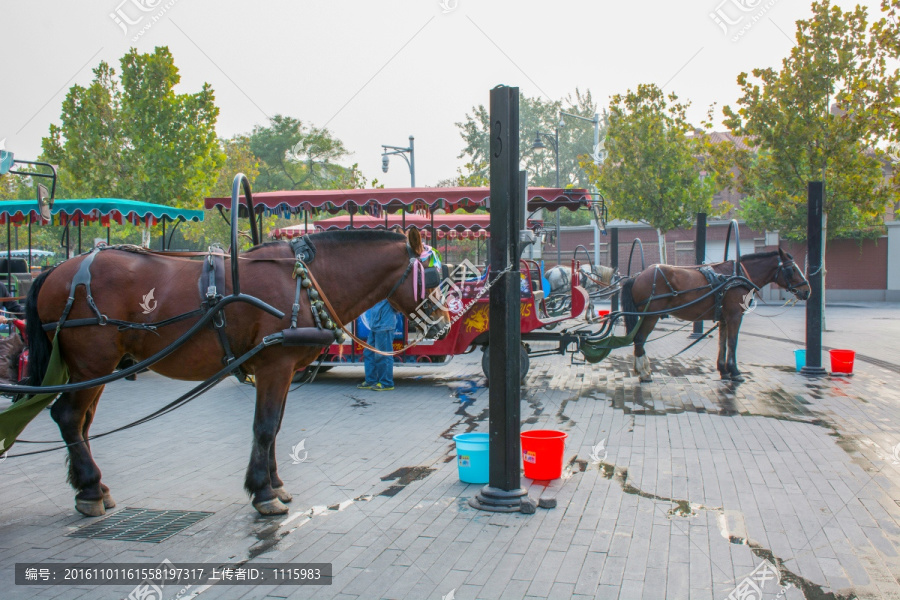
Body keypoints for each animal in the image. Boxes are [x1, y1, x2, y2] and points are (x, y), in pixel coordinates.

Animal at [25, 230, 450, 516]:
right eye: (432, 277)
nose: (445, 322)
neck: (303, 280)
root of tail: (56, 270)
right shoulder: (274, 366)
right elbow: (264, 427)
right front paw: (264, 493)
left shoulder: (280, 370)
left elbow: (275, 427)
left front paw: (275, 484)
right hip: (92, 363)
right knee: (68, 417)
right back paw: (89, 490)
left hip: (98, 369)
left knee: (81, 422)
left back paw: (93, 487)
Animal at [624, 250, 812, 382]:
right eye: (792, 269)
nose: (807, 290)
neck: (737, 277)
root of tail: (637, 276)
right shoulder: (735, 316)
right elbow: (732, 342)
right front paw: (735, 372)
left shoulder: (724, 318)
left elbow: (722, 342)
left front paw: (723, 370)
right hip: (650, 316)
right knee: (639, 339)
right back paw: (644, 372)